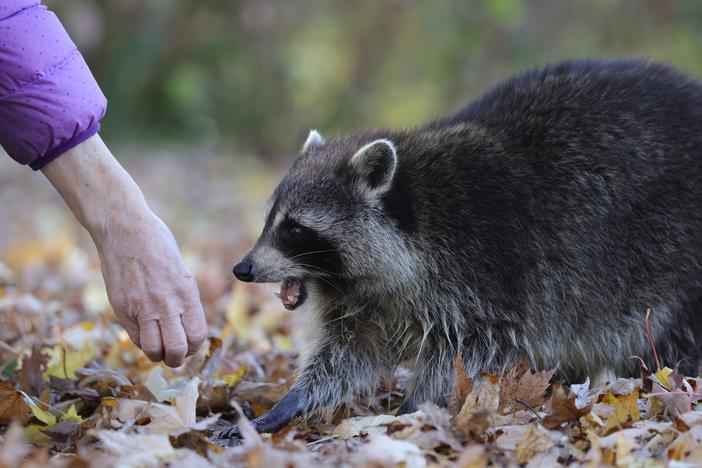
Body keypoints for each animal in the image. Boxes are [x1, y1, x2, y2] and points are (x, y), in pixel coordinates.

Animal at [232, 59, 702, 436]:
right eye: (270, 221)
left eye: (294, 229)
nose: (243, 269)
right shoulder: (369, 303)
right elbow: (348, 353)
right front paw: (292, 401)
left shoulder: (486, 275)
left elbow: (467, 353)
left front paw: (414, 407)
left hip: (674, 258)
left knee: (675, 342)